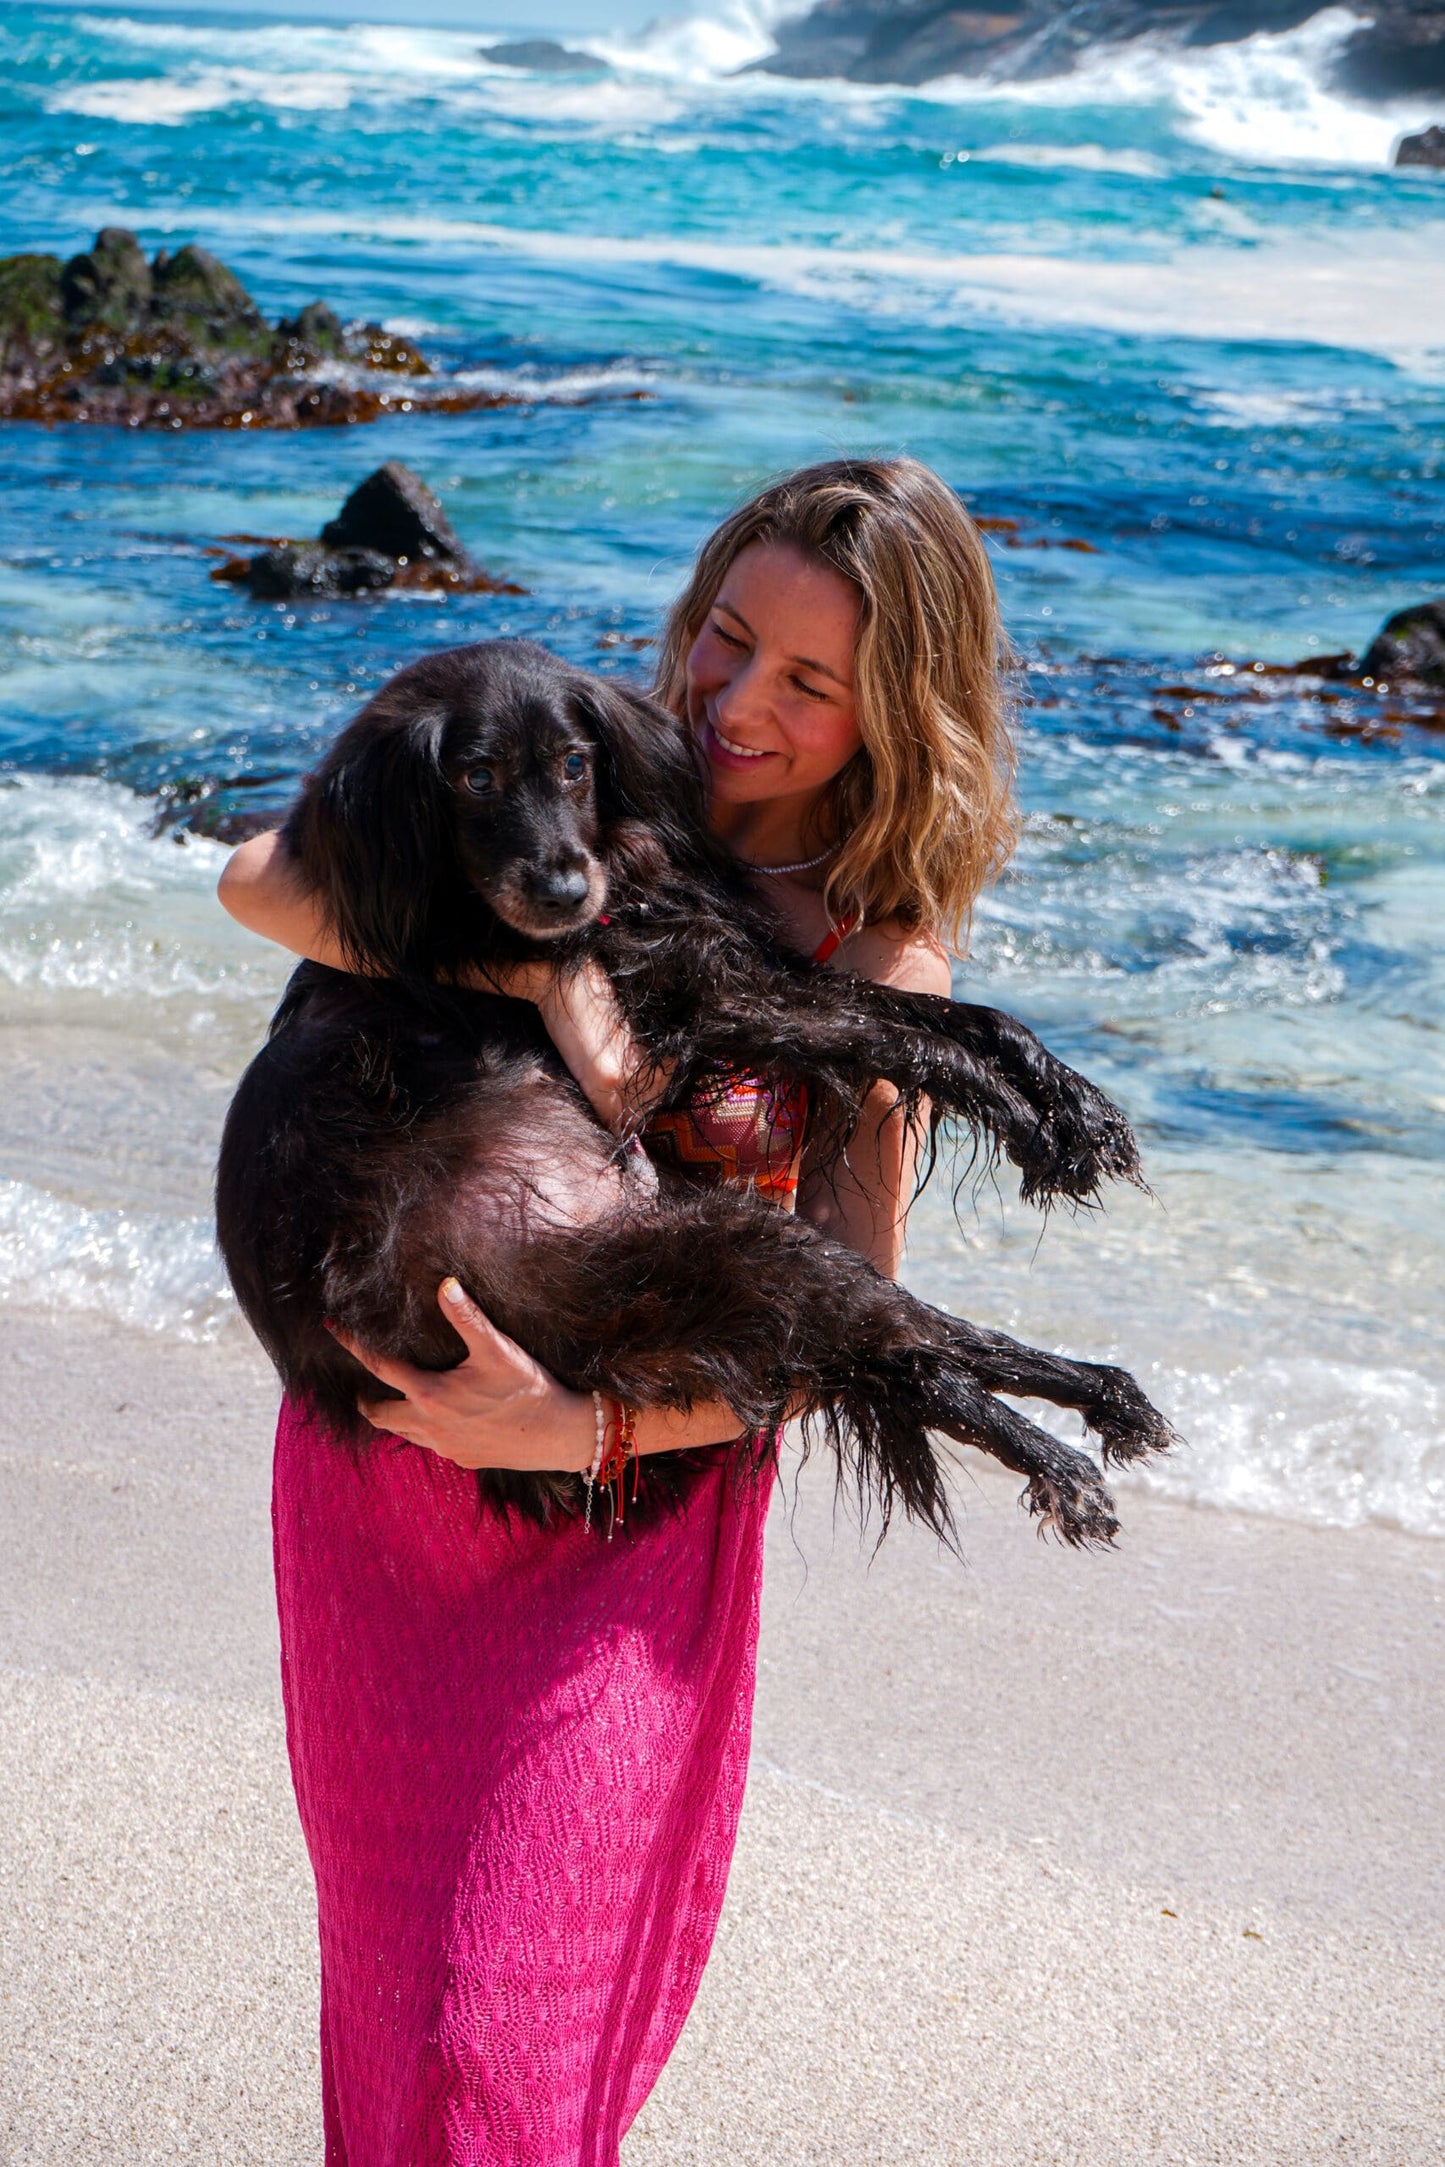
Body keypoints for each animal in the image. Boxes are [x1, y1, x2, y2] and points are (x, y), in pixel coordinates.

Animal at [217, 632, 1187, 1551]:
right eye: (475, 776)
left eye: (576, 763)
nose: (564, 889)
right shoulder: (696, 1000)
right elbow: (903, 1037)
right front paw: (1028, 1120)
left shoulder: (723, 958)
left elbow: (951, 1014)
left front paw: (1077, 1107)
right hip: (719, 1254)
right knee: (916, 1340)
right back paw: (1066, 1449)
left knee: (911, 1351)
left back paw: (1107, 1400)